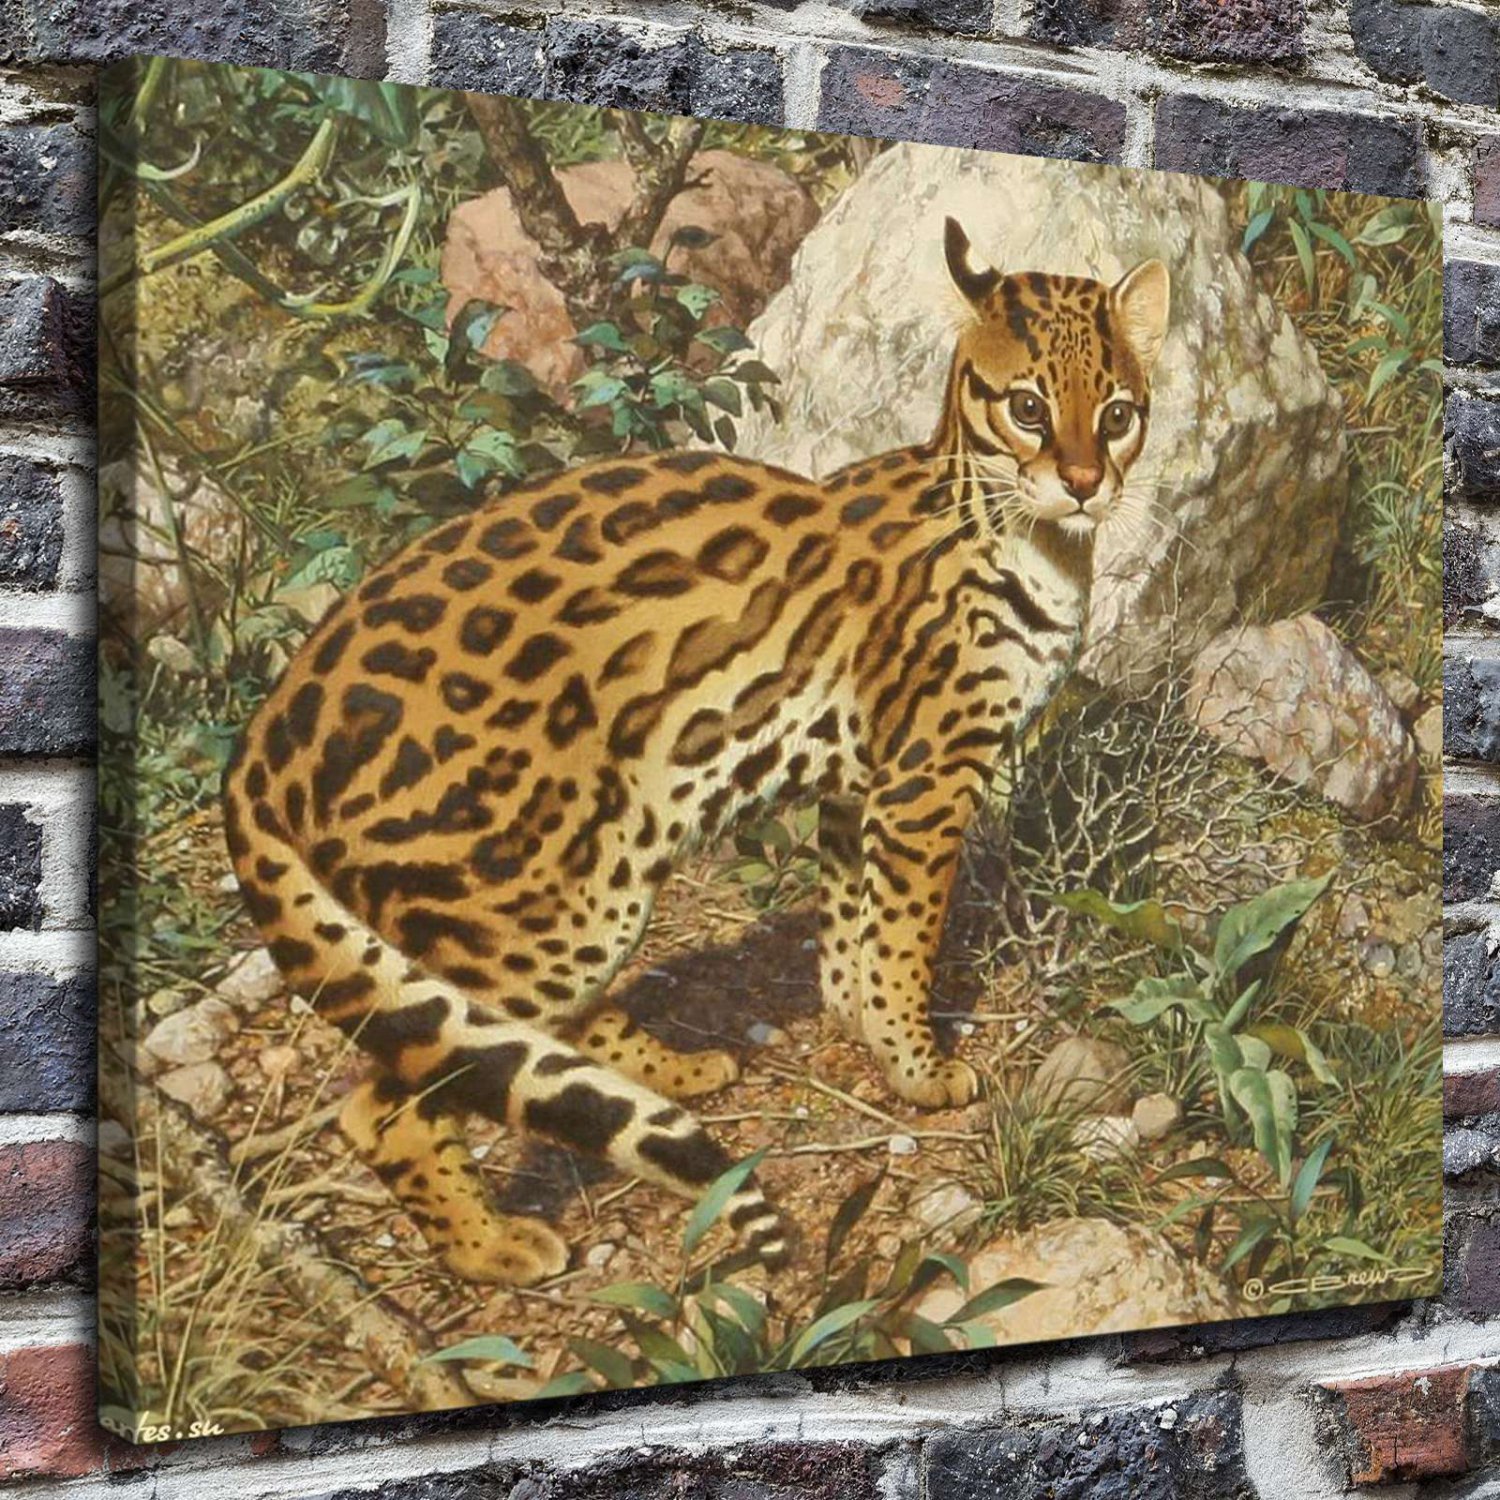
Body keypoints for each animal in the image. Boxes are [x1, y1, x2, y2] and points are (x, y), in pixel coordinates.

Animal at [223, 216, 1170, 1285]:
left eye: (1120, 414)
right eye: (1027, 408)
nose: (1086, 485)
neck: (1034, 542)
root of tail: (264, 739)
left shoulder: (861, 785)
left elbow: (852, 928)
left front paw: (860, 1023)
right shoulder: (926, 778)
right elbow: (905, 937)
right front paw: (918, 1068)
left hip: (574, 894)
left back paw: (665, 1070)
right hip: (534, 906)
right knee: (386, 1100)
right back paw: (491, 1246)